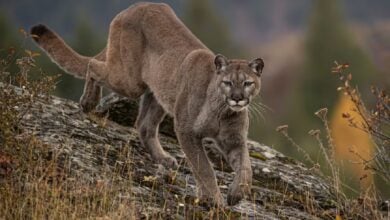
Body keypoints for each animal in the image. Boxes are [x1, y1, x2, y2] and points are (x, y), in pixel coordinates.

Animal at [29, 1, 264, 205]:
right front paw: (214, 201)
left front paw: (236, 194)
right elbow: (204, 168)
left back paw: (163, 158)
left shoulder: (234, 140)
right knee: (94, 65)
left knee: (144, 125)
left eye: (247, 83)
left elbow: (246, 167)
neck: (222, 111)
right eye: (228, 82)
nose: (237, 97)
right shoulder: (187, 131)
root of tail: (134, 7)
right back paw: (88, 102)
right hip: (129, 81)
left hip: (157, 93)